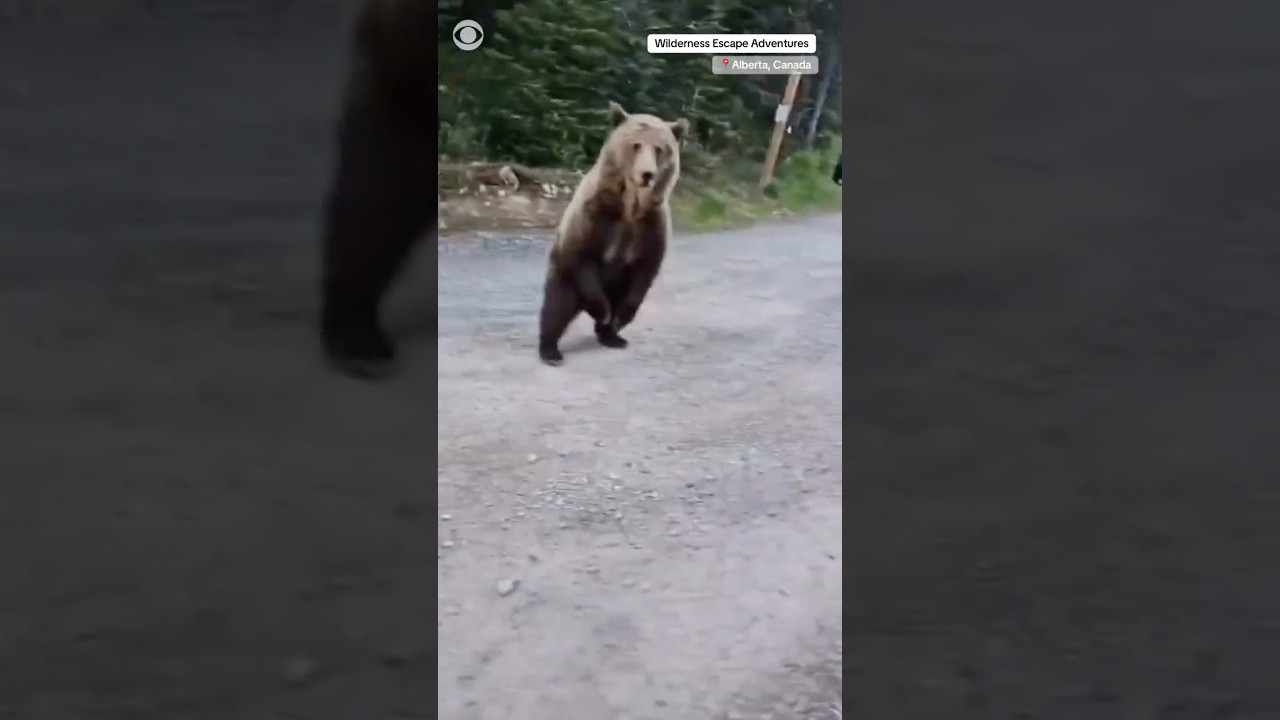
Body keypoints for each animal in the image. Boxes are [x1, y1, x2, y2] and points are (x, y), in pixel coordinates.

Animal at [537, 102, 688, 366]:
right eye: (636, 145)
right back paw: (551, 349)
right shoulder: (596, 215)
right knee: (556, 307)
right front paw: (604, 311)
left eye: (659, 149)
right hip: (565, 277)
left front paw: (617, 319)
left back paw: (612, 336)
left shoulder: (651, 225)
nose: (647, 174)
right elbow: (583, 255)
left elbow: (645, 270)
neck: (630, 206)